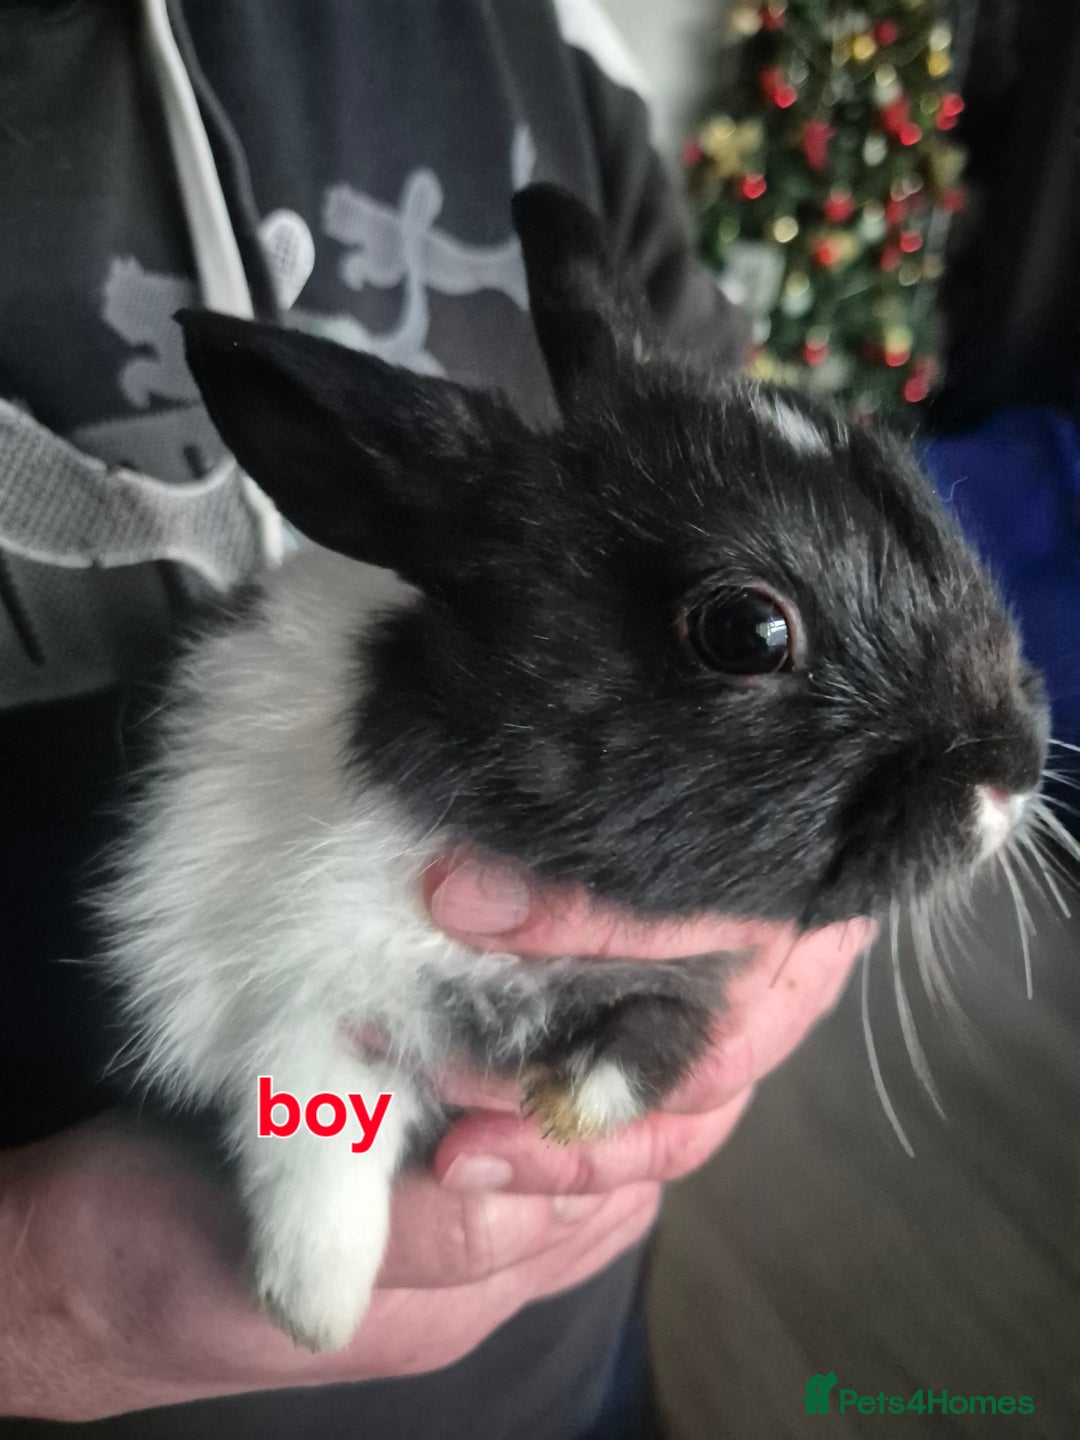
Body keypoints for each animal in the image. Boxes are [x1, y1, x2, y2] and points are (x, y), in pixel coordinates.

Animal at [98, 182, 1048, 1354]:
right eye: (747, 631)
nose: (1015, 771)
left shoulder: (687, 969)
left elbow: (664, 1025)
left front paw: (574, 1101)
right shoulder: (277, 982)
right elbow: (316, 1117)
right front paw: (313, 1308)